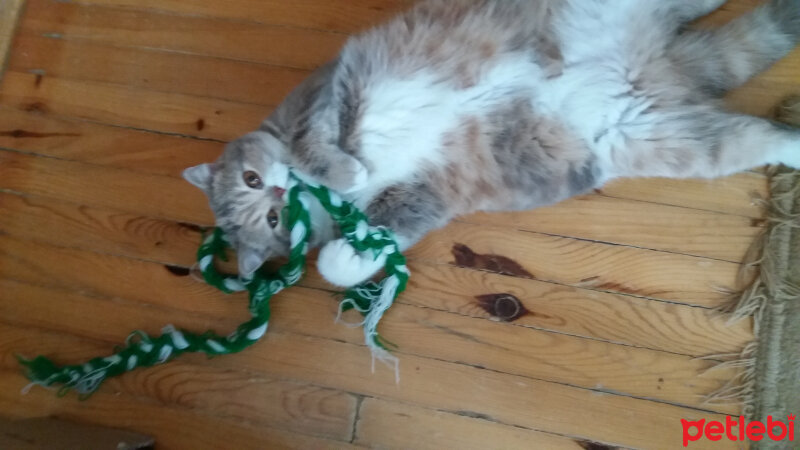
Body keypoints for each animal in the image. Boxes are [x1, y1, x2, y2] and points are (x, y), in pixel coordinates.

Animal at [183, 0, 800, 286]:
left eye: (253, 181)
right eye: (270, 221)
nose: (278, 192)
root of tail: (652, 60)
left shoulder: (326, 93)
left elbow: (316, 144)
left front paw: (339, 169)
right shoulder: (419, 198)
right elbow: (356, 255)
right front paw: (345, 253)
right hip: (658, 138)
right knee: (759, 135)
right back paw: (792, 144)